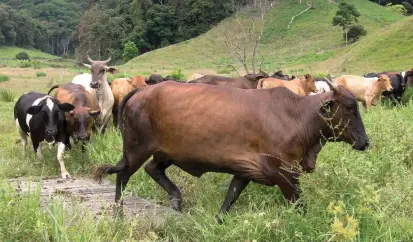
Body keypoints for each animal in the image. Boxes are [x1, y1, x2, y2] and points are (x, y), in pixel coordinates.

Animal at [92, 81, 366, 223]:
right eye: (350, 107)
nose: (365, 142)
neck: (297, 116)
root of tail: (142, 90)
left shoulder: (246, 169)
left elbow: (230, 197)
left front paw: (218, 221)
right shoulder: (285, 173)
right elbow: (299, 204)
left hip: (164, 153)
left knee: (152, 169)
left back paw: (176, 200)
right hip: (137, 149)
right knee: (123, 175)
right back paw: (118, 212)